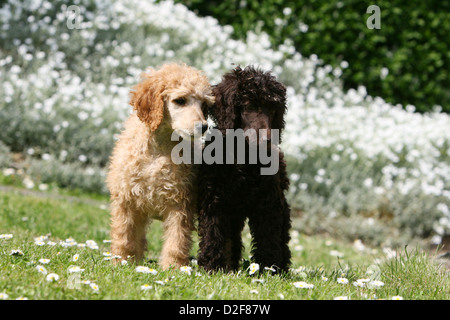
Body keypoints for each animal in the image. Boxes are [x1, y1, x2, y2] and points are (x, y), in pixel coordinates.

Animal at [109, 62, 214, 268]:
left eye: (204, 105)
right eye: (180, 100)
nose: (204, 126)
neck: (159, 149)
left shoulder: (180, 203)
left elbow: (177, 240)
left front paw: (173, 268)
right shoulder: (126, 200)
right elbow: (123, 235)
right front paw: (120, 261)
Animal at [198, 66, 292, 274]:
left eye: (272, 108)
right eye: (248, 106)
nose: (267, 140)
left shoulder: (268, 204)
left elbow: (268, 239)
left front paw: (267, 269)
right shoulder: (214, 202)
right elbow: (213, 235)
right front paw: (212, 267)